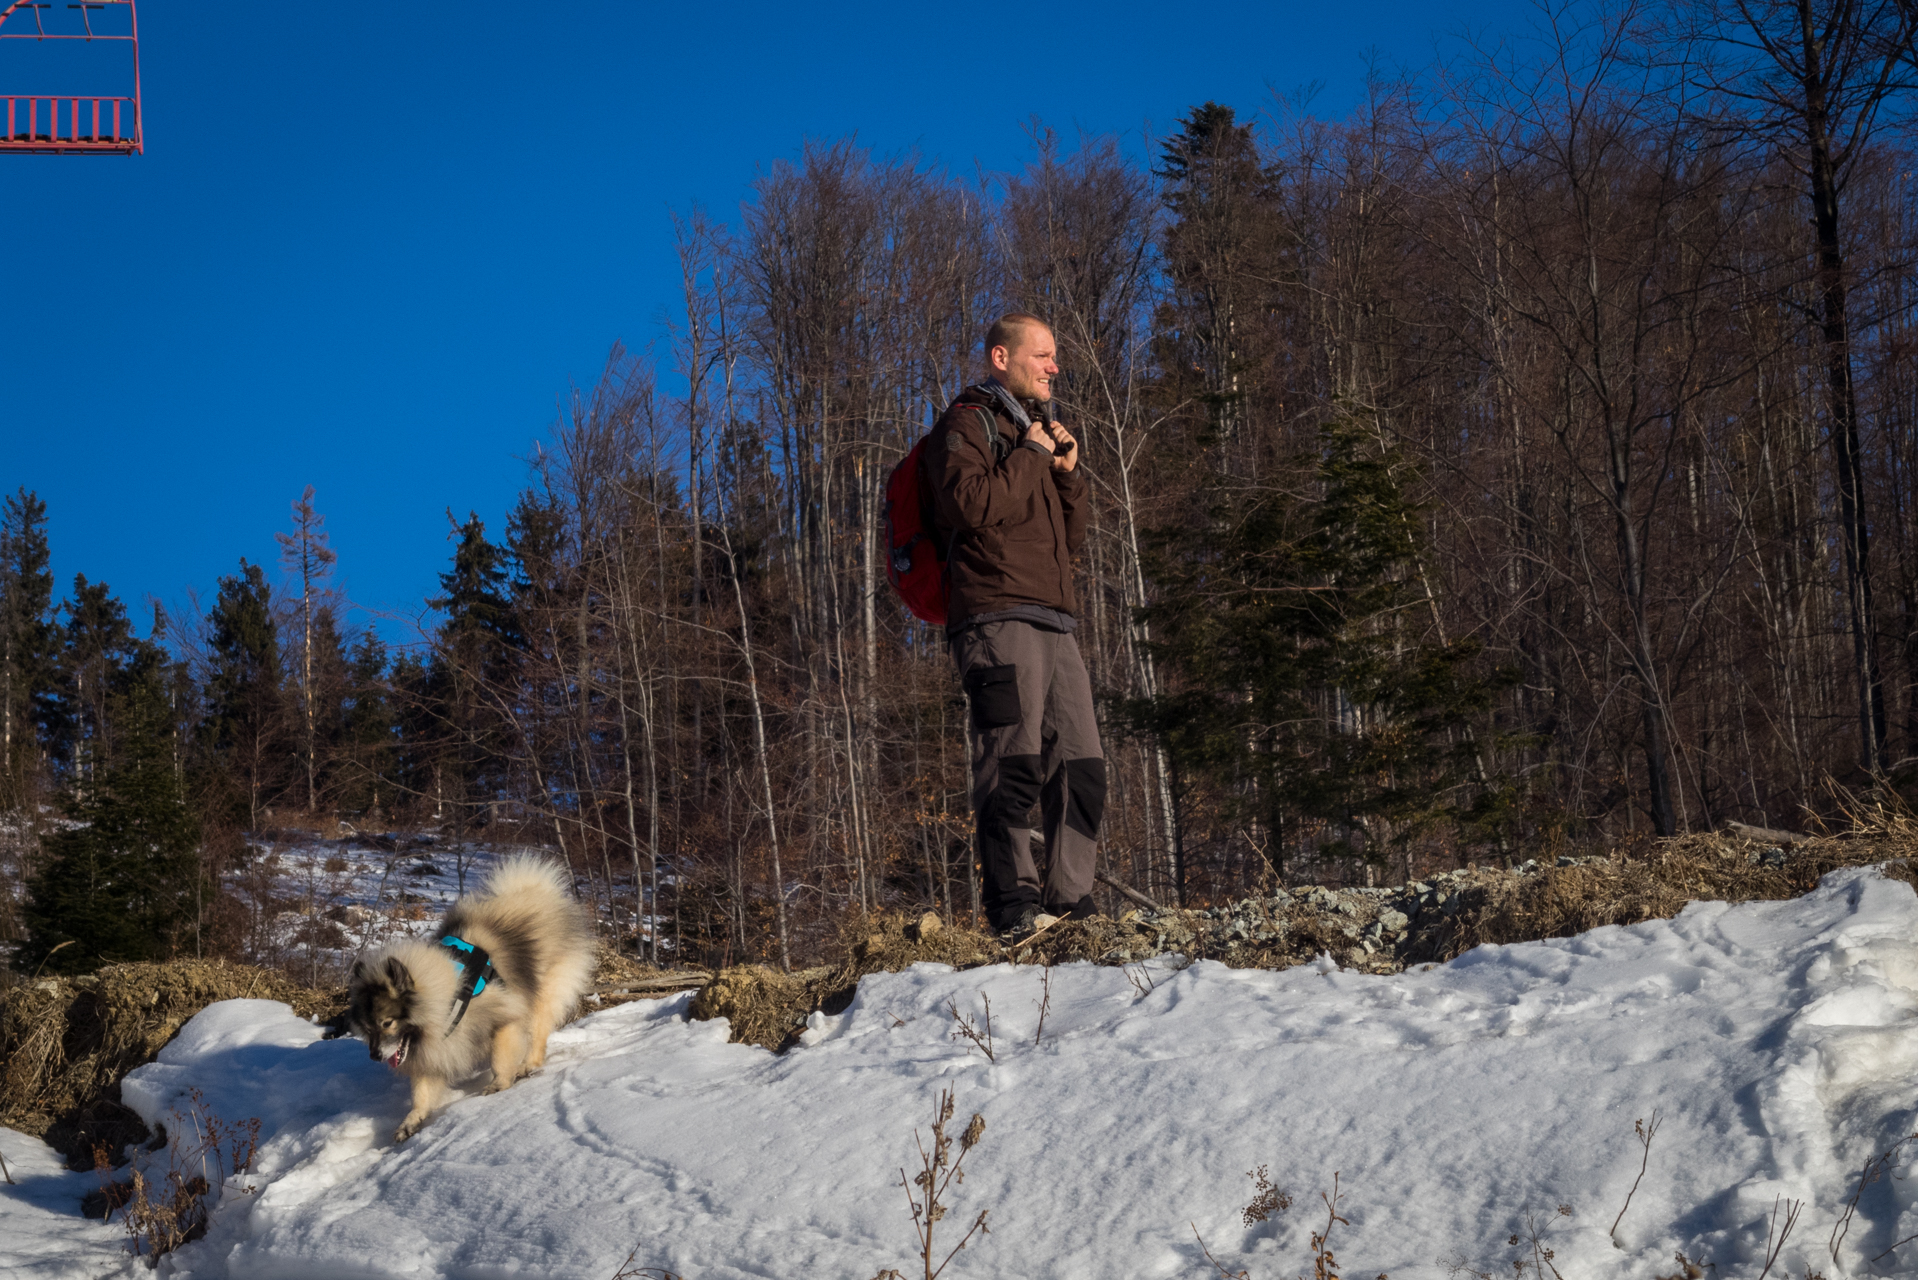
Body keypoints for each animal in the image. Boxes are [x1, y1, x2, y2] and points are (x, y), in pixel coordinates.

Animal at [345, 859, 594, 1143]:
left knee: (538, 1035)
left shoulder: (503, 1018)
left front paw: (499, 1084)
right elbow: (422, 1092)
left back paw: (527, 1065)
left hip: (544, 994)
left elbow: (499, 1057)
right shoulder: (435, 1050)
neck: (447, 997)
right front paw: (412, 1120)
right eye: (367, 1028)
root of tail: (536, 892)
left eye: (387, 1023)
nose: (374, 1056)